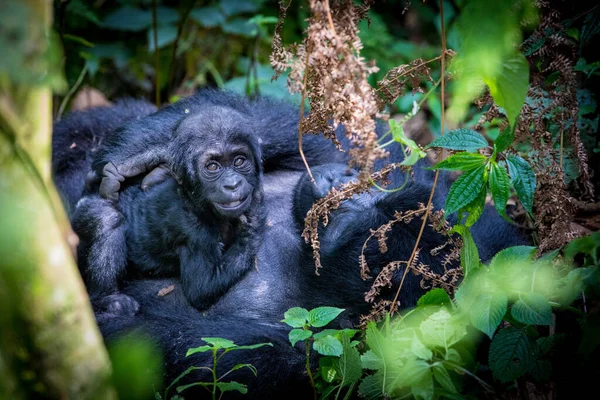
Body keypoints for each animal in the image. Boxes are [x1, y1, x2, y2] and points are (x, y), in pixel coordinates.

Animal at [72, 106, 262, 316]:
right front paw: (249, 232)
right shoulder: (193, 230)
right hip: (84, 213)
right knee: (108, 219)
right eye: (213, 166)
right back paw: (108, 298)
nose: (232, 184)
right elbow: (202, 287)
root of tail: (88, 194)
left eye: (239, 161)